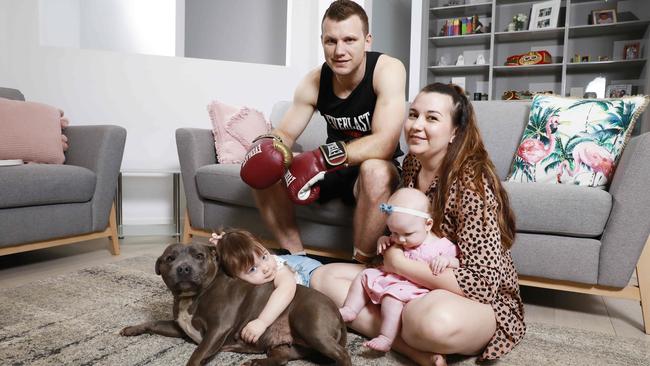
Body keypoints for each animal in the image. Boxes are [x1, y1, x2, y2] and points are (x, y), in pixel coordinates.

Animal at [120, 243, 350, 366]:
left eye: (199, 256)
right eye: (170, 258)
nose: (183, 268)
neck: (194, 296)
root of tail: (337, 312)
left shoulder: (217, 329)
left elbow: (197, 354)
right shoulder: (179, 327)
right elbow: (154, 323)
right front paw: (132, 329)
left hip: (311, 327)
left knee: (342, 354)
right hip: (286, 345)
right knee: (281, 358)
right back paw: (257, 362)